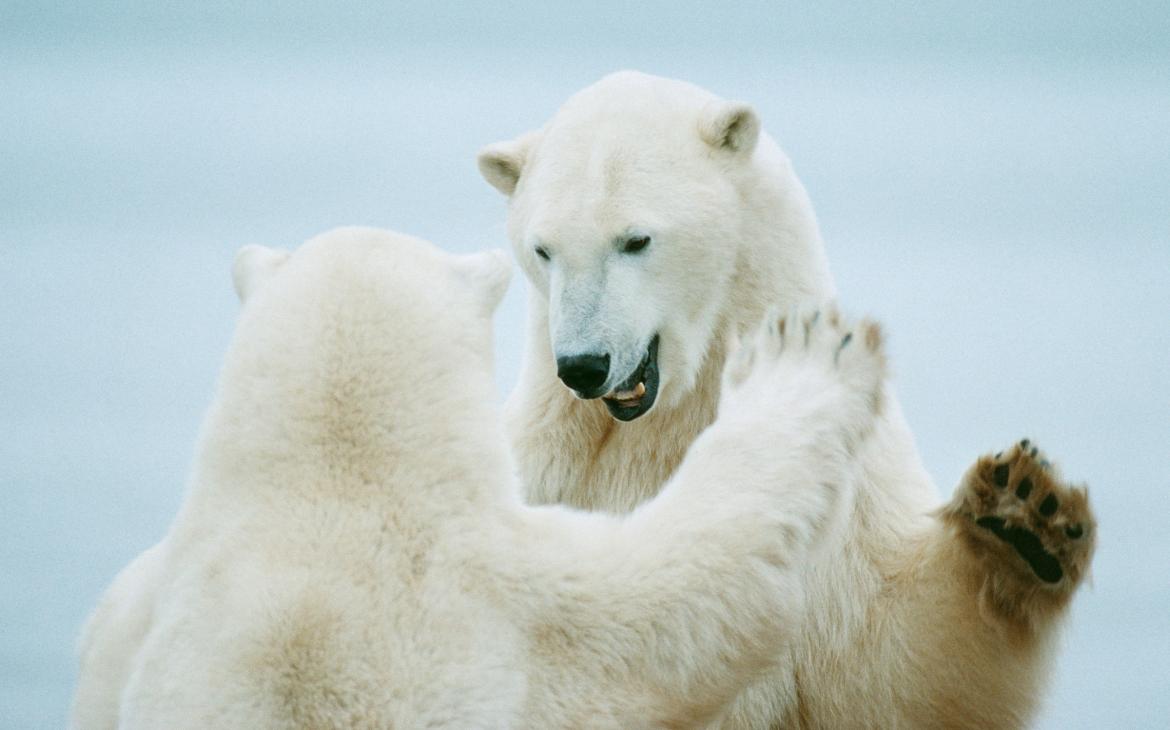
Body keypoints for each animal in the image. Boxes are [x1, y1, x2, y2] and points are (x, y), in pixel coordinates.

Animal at [477, 71, 1095, 725]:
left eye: (635, 240)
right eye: (543, 249)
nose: (583, 365)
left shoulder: (849, 505)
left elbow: (893, 671)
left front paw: (1024, 517)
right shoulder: (540, 476)